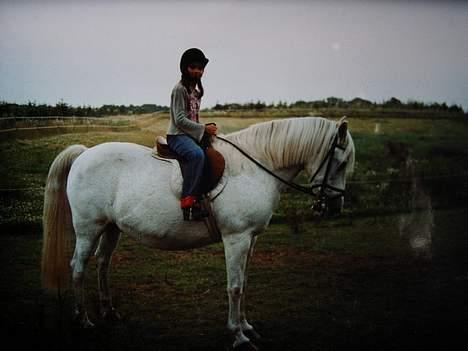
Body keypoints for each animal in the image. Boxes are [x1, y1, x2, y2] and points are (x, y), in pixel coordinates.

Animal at [41, 117, 354, 350]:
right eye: (340, 163)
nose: (335, 206)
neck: (254, 168)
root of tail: (84, 153)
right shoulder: (236, 238)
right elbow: (235, 287)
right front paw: (237, 335)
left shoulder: (250, 239)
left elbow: (244, 283)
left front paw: (247, 326)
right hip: (88, 228)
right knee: (78, 267)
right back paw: (83, 320)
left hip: (110, 228)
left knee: (102, 264)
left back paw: (108, 312)